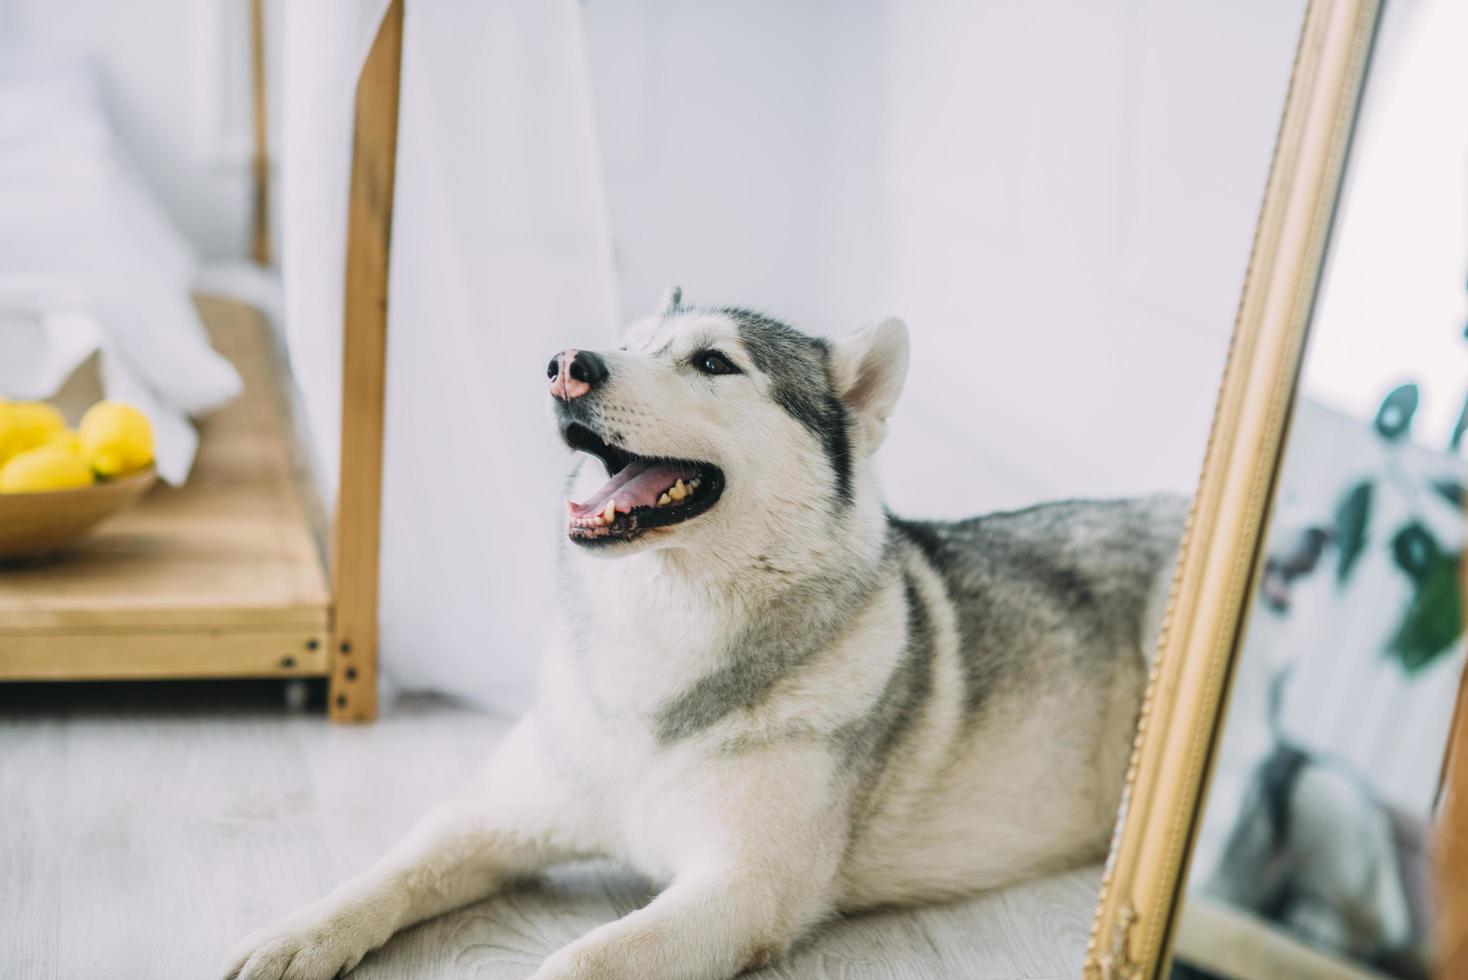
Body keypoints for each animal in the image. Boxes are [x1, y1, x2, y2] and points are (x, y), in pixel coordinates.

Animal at [223, 290, 1186, 979]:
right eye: (632, 342)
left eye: (714, 363)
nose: (566, 365)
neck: (659, 634)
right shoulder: (493, 818)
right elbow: (389, 871)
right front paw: (297, 934)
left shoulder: (738, 890)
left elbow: (578, 962)